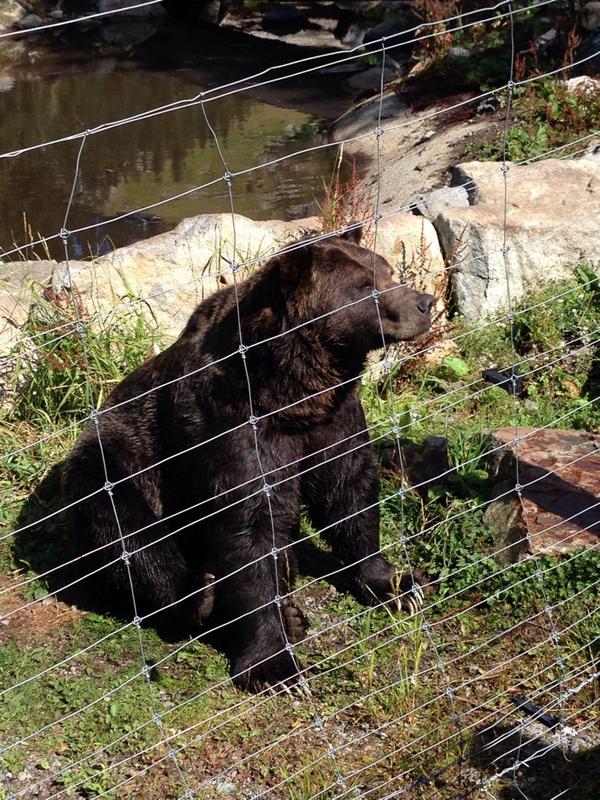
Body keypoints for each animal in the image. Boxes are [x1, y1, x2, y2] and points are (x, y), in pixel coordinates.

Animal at [61, 226, 434, 691]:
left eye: (389, 271)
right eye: (365, 286)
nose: (425, 303)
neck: (294, 390)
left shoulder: (333, 419)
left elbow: (349, 489)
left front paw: (398, 585)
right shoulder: (232, 424)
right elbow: (248, 525)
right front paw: (275, 667)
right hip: (112, 467)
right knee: (128, 536)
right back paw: (202, 600)